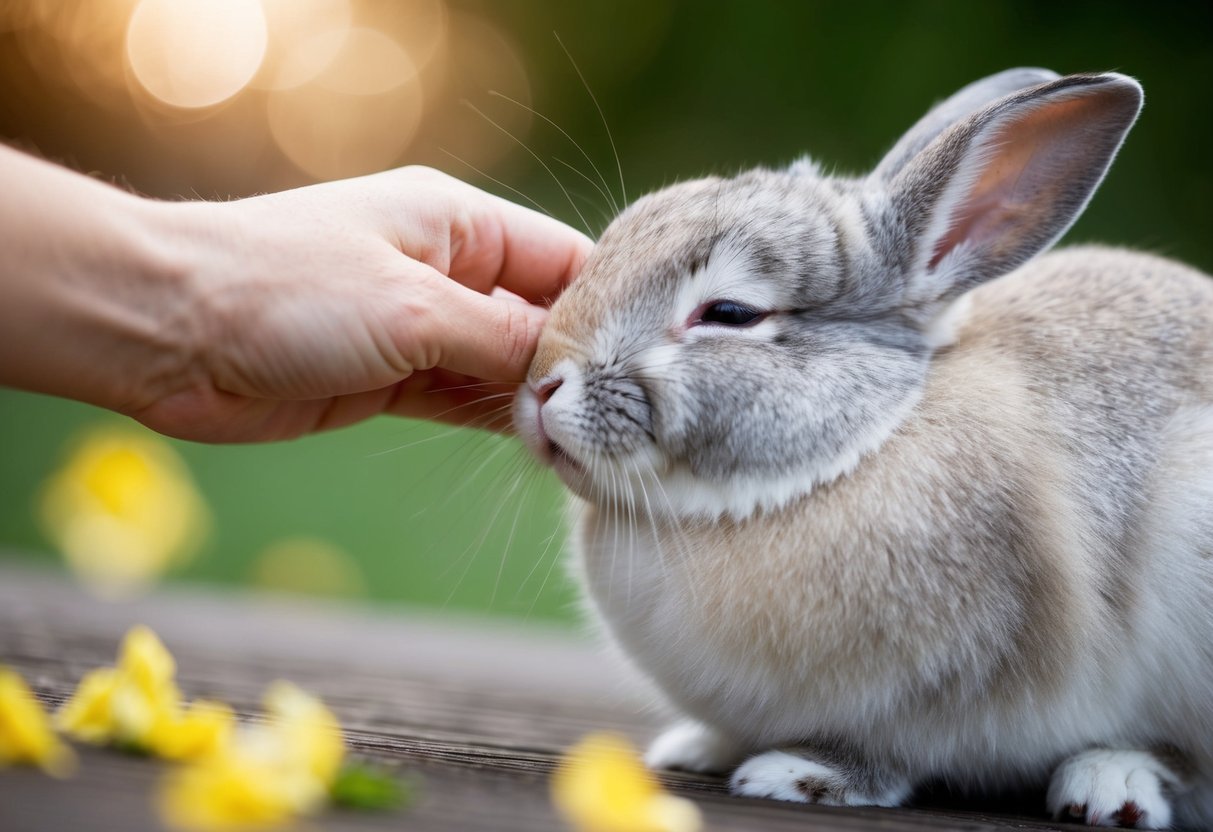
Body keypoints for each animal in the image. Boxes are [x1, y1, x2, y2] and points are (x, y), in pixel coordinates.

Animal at [513, 68, 1213, 829]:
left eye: (730, 313)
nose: (542, 383)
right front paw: (698, 747)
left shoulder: (941, 690)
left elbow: (888, 753)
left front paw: (799, 776)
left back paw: (1109, 783)